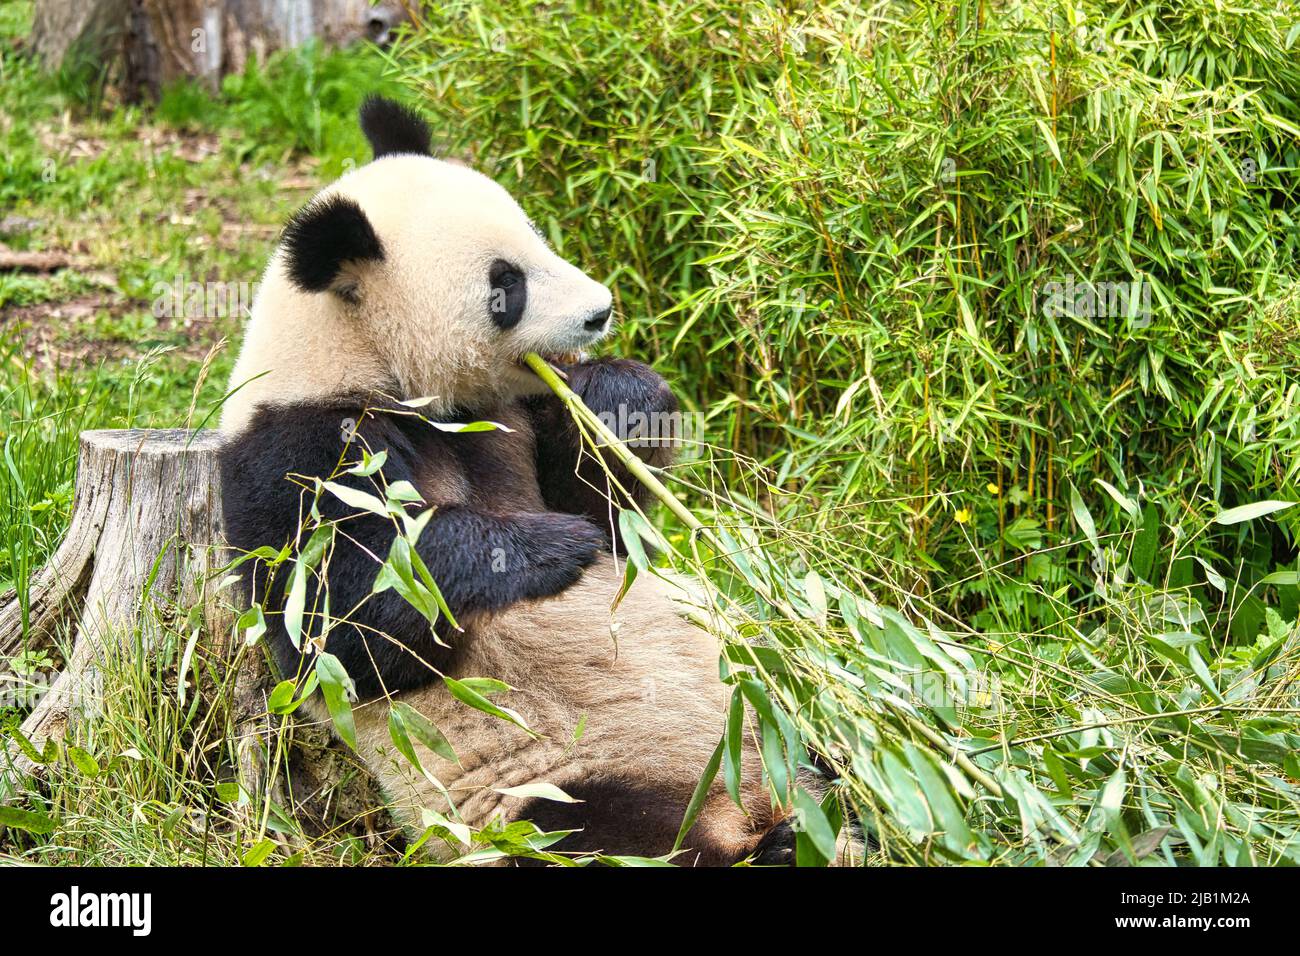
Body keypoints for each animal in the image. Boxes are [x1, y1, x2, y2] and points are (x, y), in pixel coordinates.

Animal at [220, 97, 832, 868]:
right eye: (505, 284)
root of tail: (743, 804)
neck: (364, 360)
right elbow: (348, 626)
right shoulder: (301, 450)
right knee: (606, 837)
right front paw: (544, 550)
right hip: (550, 790)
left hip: (771, 713)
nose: (600, 310)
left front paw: (619, 398)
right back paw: (775, 844)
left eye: (537, 239)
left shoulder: (511, 417)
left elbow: (612, 519)